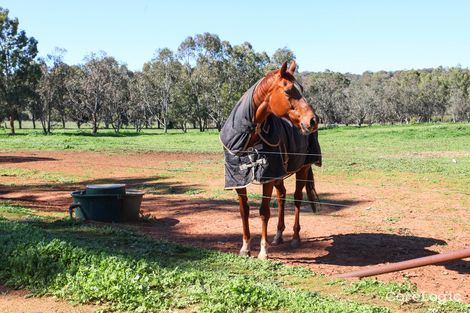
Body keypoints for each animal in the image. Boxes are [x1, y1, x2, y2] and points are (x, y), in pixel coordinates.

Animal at [229, 61, 318, 258]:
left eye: (302, 89)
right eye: (288, 91)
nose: (313, 120)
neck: (251, 138)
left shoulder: (267, 177)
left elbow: (264, 211)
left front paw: (263, 251)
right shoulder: (239, 179)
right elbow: (244, 211)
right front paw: (245, 247)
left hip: (302, 169)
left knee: (297, 198)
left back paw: (295, 237)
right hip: (279, 175)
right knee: (282, 196)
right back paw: (278, 235)